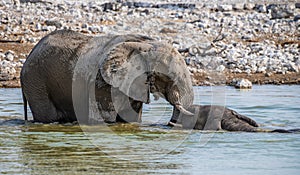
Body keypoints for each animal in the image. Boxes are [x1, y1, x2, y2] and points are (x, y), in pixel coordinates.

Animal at [21, 29, 195, 123]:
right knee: (47, 115)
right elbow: (105, 119)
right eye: (168, 77)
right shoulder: (101, 83)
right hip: (36, 80)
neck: (145, 43)